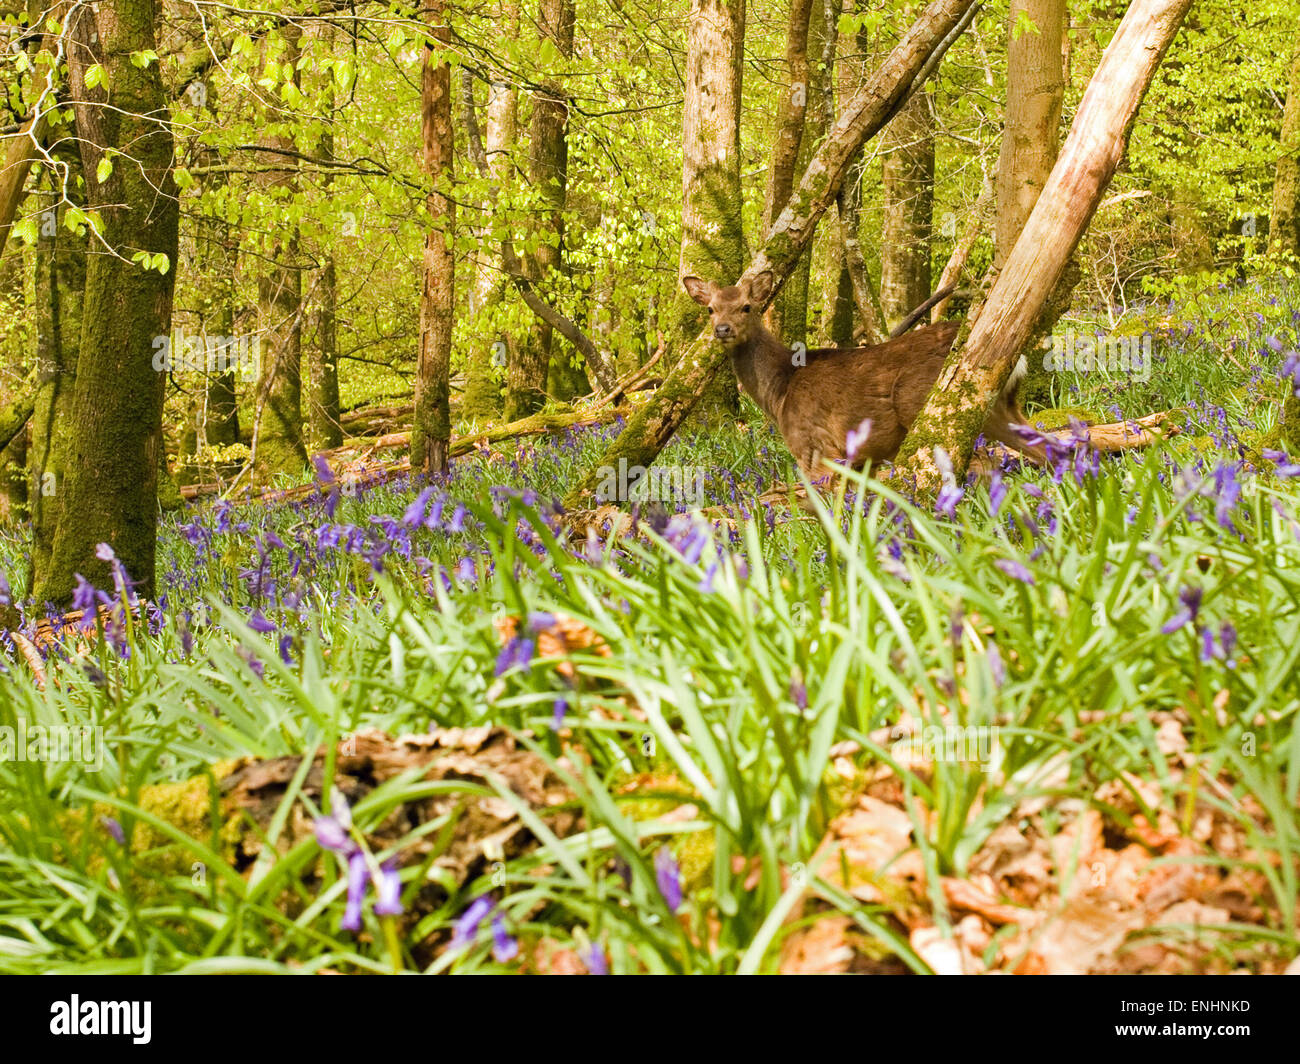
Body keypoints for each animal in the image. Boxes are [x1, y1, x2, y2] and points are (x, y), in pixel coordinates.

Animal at [681, 267, 1045, 478]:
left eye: (747, 307)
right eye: (710, 309)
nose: (723, 329)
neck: (780, 390)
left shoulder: (813, 445)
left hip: (937, 407)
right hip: (1000, 407)